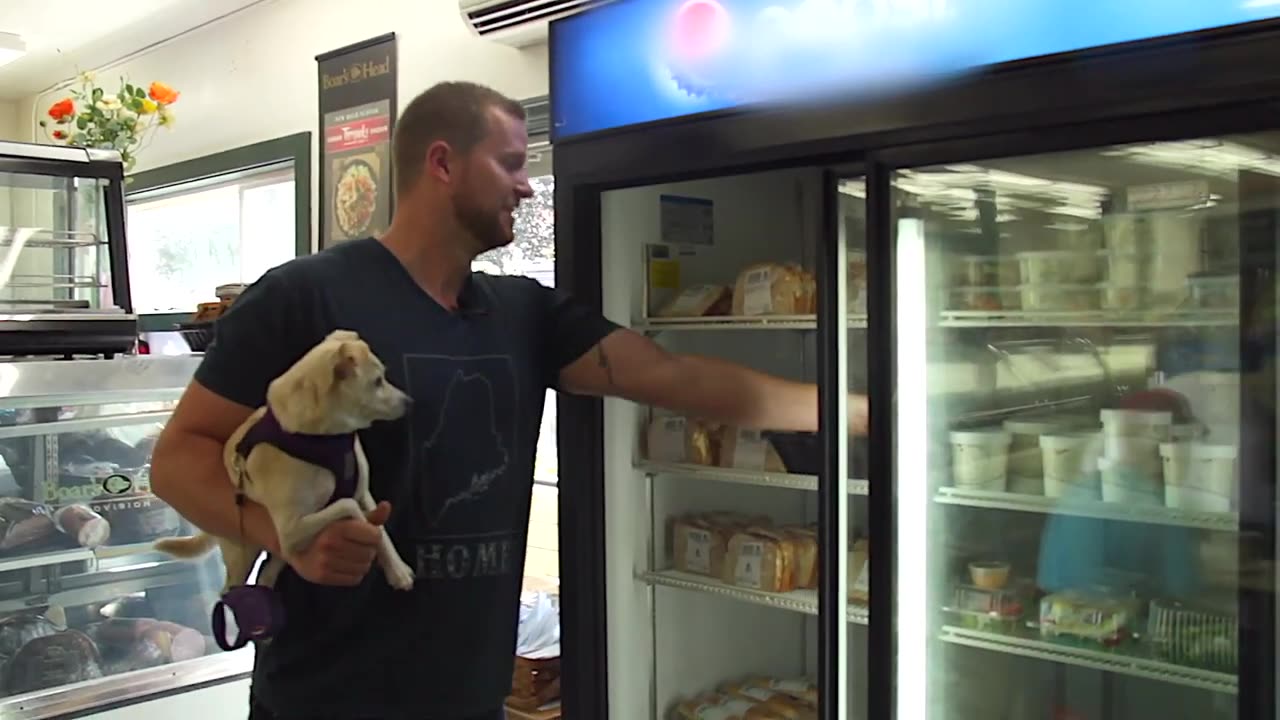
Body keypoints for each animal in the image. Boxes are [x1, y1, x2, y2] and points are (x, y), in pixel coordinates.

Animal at [154, 327, 414, 591]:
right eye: (377, 382)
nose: (410, 402)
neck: (324, 438)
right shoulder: (290, 530)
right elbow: (348, 506)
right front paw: (363, 528)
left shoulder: (362, 493)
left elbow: (381, 531)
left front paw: (398, 570)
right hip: (245, 552)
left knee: (268, 574)